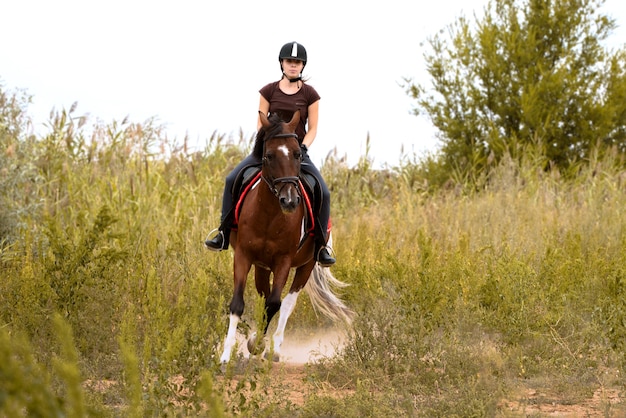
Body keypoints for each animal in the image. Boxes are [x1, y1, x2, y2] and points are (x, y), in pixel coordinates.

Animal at [217, 110, 352, 362]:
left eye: (298, 154)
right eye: (269, 156)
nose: (289, 201)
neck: (270, 216)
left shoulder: (284, 261)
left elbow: (274, 303)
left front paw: (257, 344)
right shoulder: (243, 256)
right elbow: (239, 304)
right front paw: (226, 356)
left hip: (306, 265)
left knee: (288, 302)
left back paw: (275, 349)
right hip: (261, 265)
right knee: (264, 293)